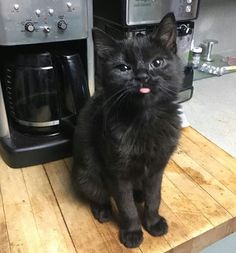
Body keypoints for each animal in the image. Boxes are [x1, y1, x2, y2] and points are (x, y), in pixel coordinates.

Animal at [72, 12, 183, 248]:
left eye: (157, 62)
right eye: (123, 68)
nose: (142, 76)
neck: (145, 119)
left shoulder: (157, 168)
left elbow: (154, 198)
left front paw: (153, 222)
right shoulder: (117, 173)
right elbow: (126, 206)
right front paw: (132, 232)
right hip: (87, 176)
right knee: (98, 195)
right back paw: (102, 211)